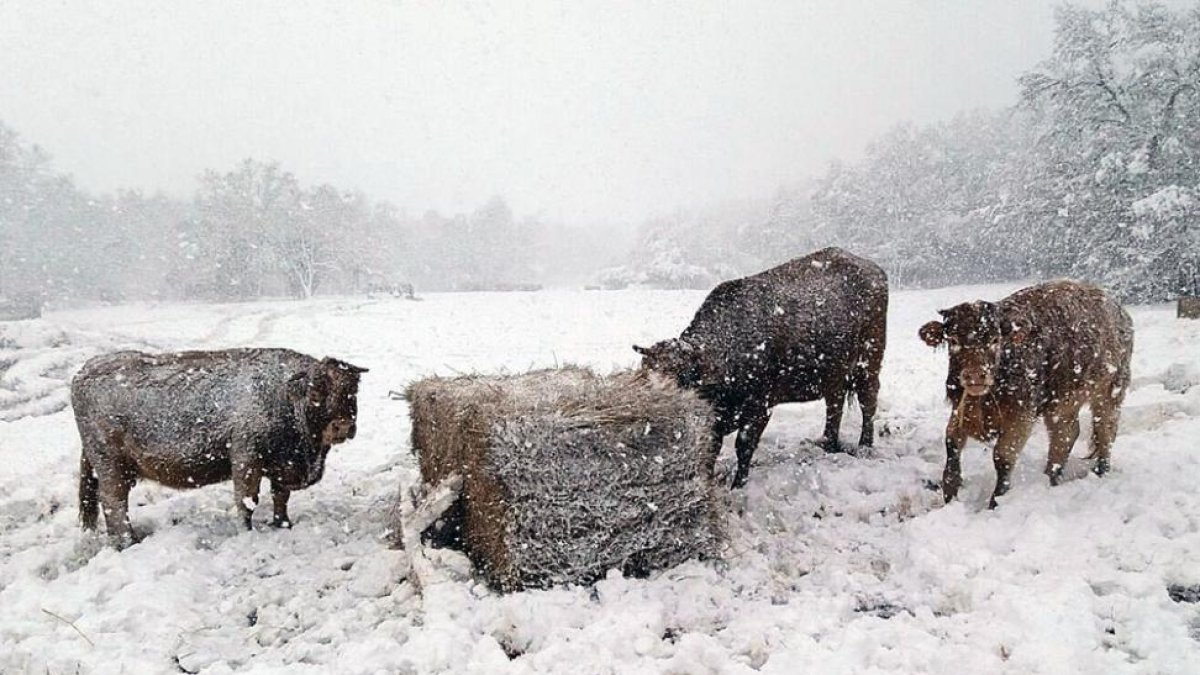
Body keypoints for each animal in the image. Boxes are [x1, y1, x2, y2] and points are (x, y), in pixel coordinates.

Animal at [71, 348, 367, 547]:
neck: (283, 395)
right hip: (111, 467)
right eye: (316, 391)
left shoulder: (281, 466)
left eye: (352, 390)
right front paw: (247, 534)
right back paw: (128, 542)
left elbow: (280, 497)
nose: (343, 427)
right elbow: (247, 501)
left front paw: (283, 524)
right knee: (114, 502)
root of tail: (84, 371)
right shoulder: (247, 460)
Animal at [635, 247, 888, 488]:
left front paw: (738, 485)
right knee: (834, 405)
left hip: (869, 363)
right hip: (835, 374)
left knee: (868, 402)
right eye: (645, 377)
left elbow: (744, 446)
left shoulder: (760, 406)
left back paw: (864, 447)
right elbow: (711, 449)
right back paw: (827, 443)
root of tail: (871, 268)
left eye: (682, 380)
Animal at [919, 280, 1134, 508]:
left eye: (995, 339)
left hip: (1110, 392)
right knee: (1065, 435)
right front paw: (949, 495)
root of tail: (1118, 309)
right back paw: (1049, 479)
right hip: (1062, 402)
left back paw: (1100, 471)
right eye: (952, 340)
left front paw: (996, 502)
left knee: (1105, 431)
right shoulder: (960, 410)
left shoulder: (1021, 416)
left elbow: (1003, 457)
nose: (976, 375)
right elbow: (951, 444)